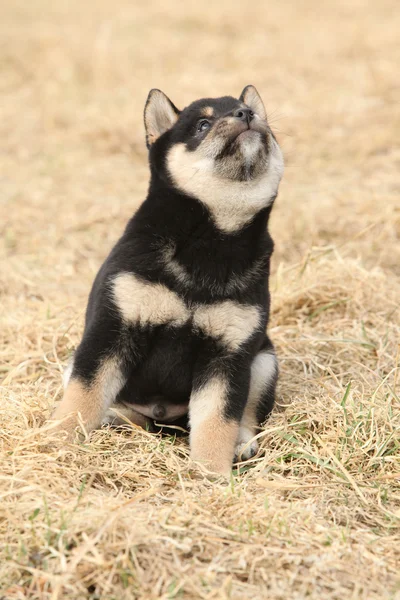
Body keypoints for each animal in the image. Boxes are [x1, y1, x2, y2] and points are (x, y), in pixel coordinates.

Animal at [52, 85, 284, 478]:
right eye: (202, 124)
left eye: (251, 110)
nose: (246, 114)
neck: (212, 242)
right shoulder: (112, 329)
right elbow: (83, 396)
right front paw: (57, 441)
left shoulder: (229, 352)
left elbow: (217, 421)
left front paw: (212, 476)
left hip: (264, 360)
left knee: (247, 417)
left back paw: (241, 444)